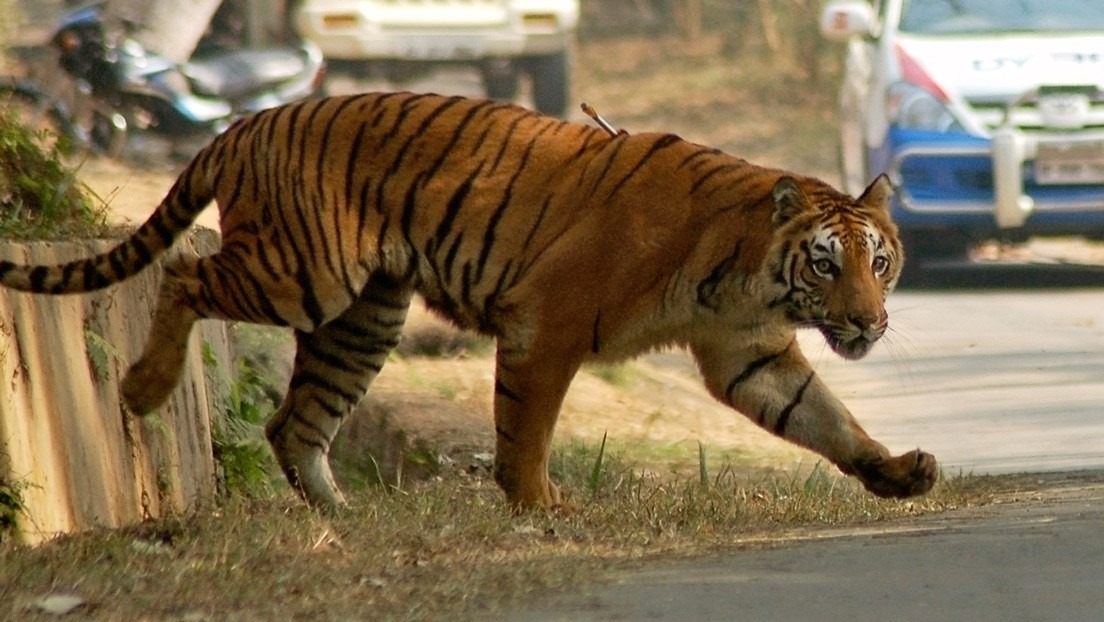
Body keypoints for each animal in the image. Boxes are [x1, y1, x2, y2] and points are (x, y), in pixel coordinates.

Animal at [0, 91, 940, 510]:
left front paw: (895, 471)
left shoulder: (750, 352)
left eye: (879, 262)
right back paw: (141, 389)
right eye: (826, 265)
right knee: (183, 277)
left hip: (362, 316)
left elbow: (826, 420)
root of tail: (245, 123)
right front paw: (538, 504)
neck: (747, 270)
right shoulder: (548, 326)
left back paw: (346, 518)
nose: (867, 321)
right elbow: (526, 427)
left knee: (293, 423)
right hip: (304, 275)